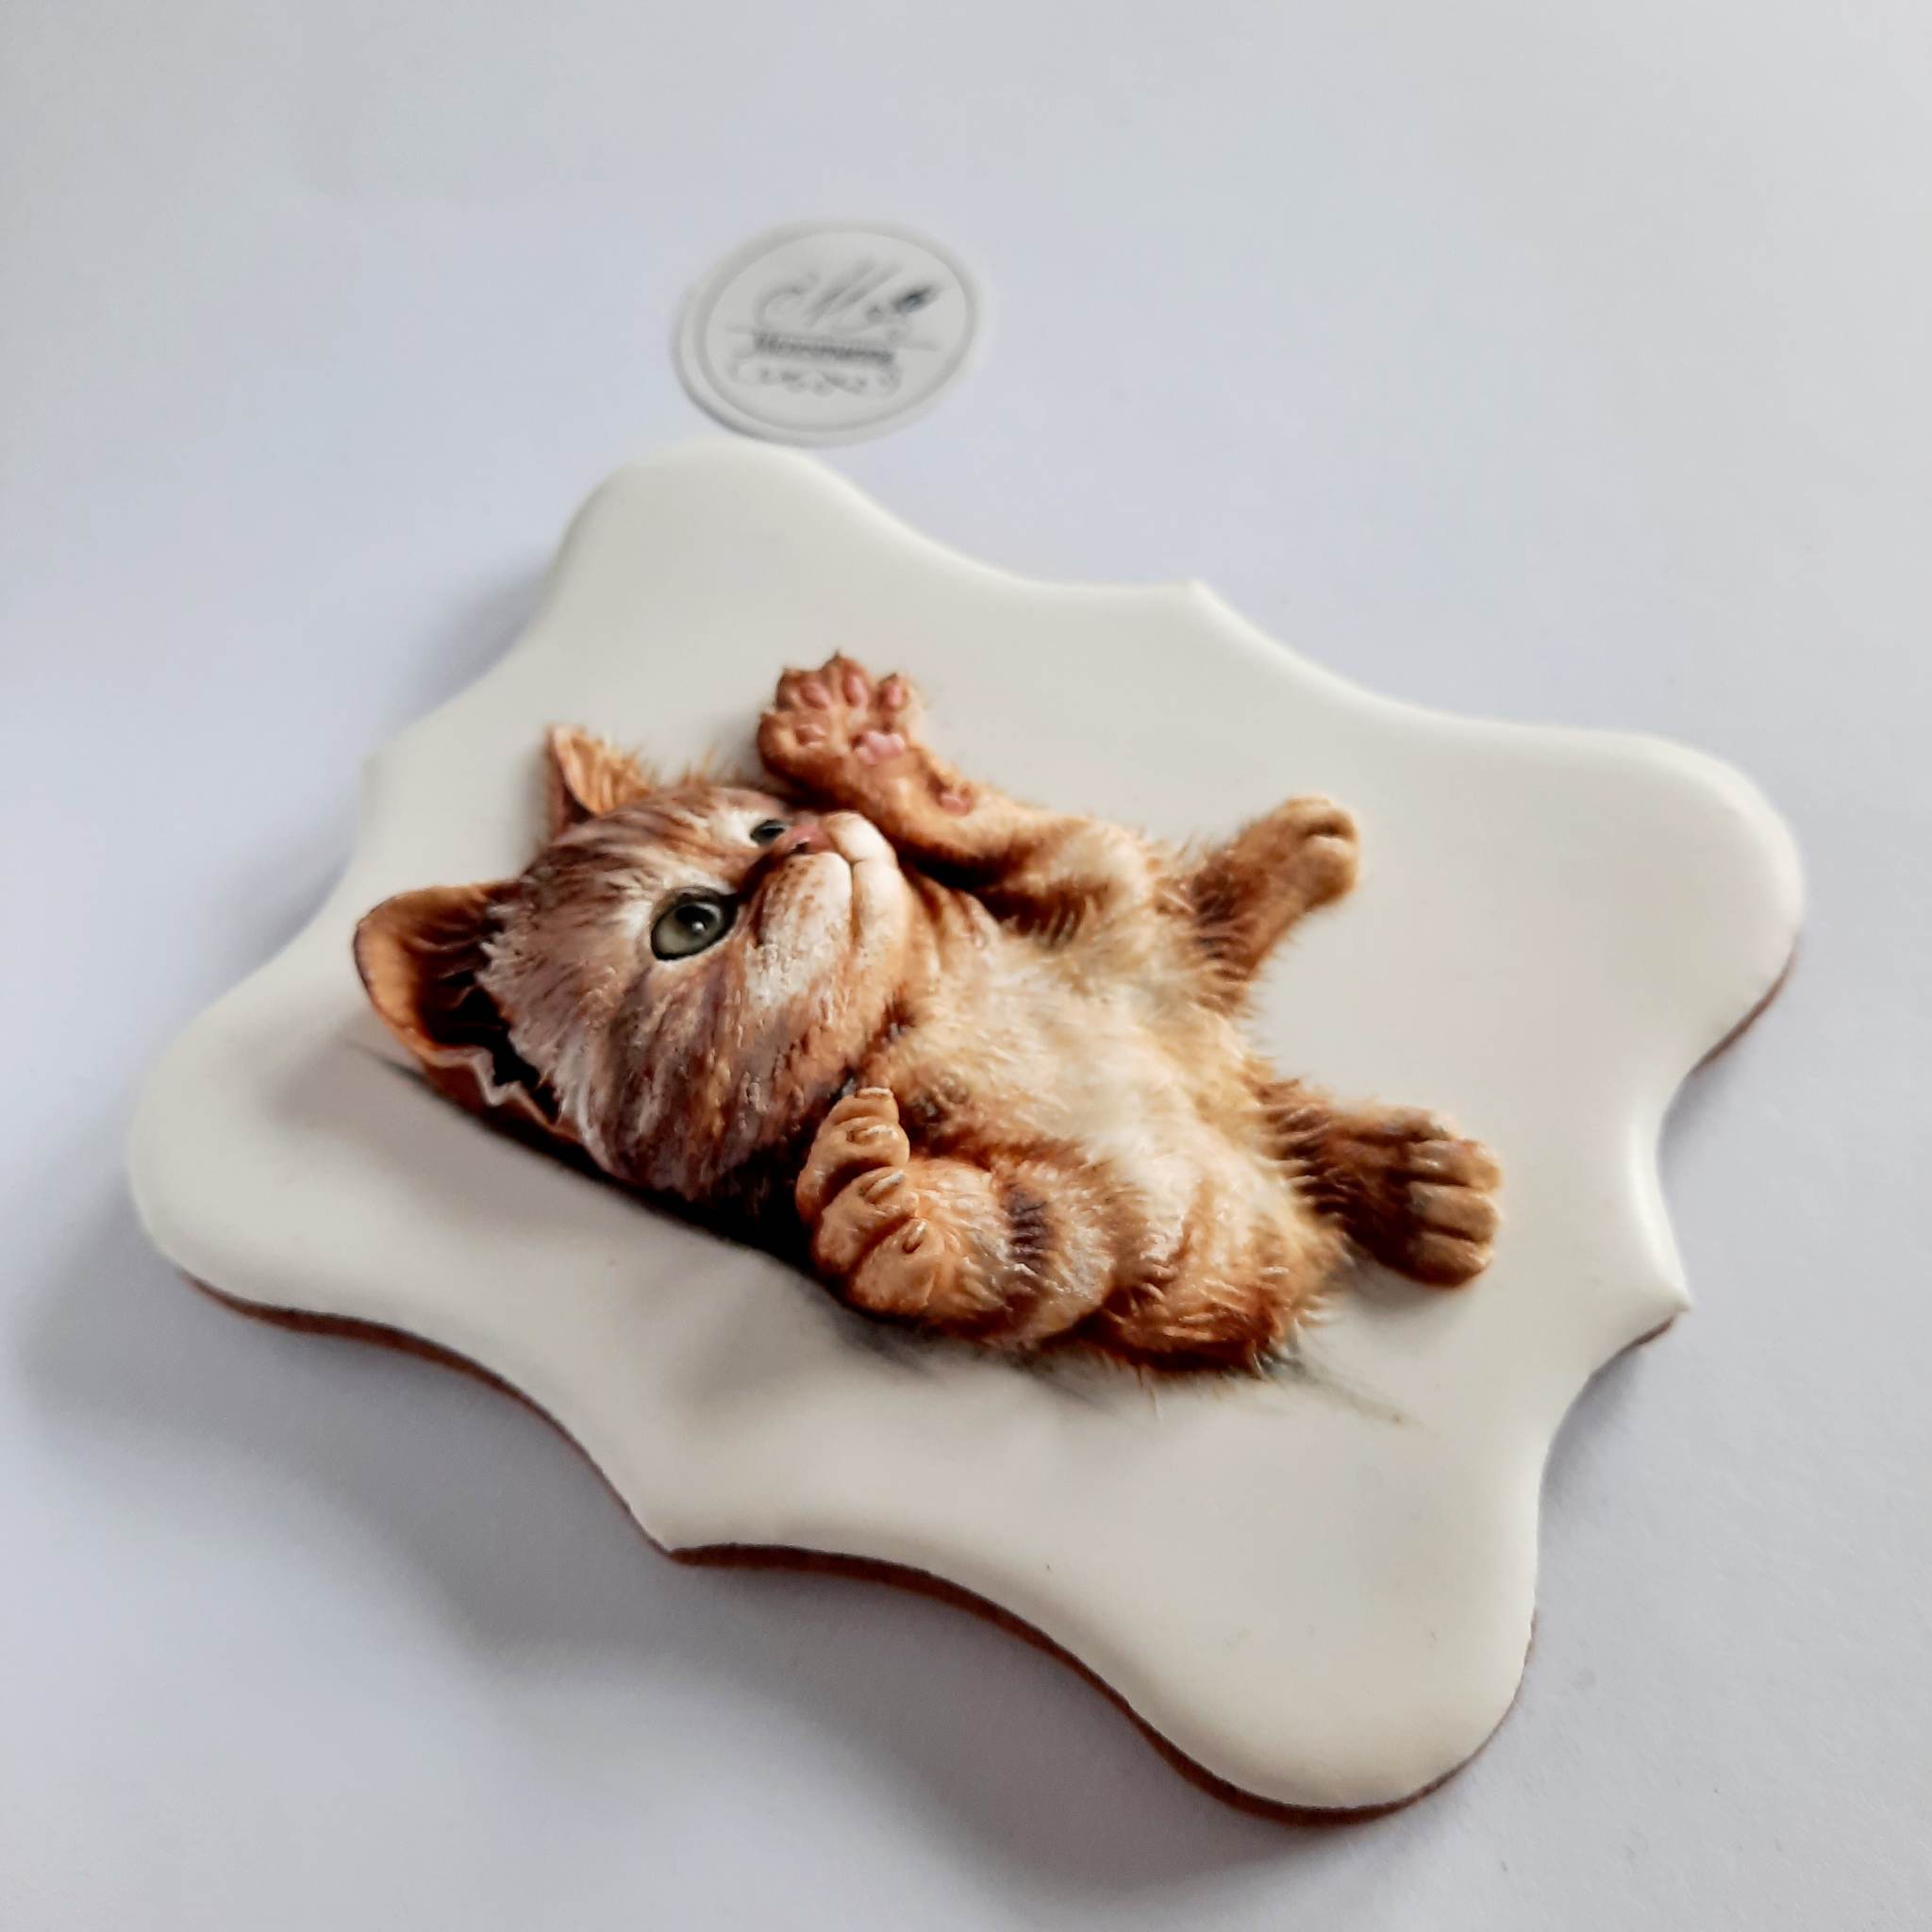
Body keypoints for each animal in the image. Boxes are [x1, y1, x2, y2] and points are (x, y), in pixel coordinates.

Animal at [355, 654, 1500, 1370]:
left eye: (762, 822)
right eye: (687, 925)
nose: (798, 838)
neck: (928, 1005)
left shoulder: (1075, 901)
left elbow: (987, 827)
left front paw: (854, 750)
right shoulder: (1139, 1235)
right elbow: (1025, 1248)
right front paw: (890, 1214)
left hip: (1138, 935)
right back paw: (1420, 1184)